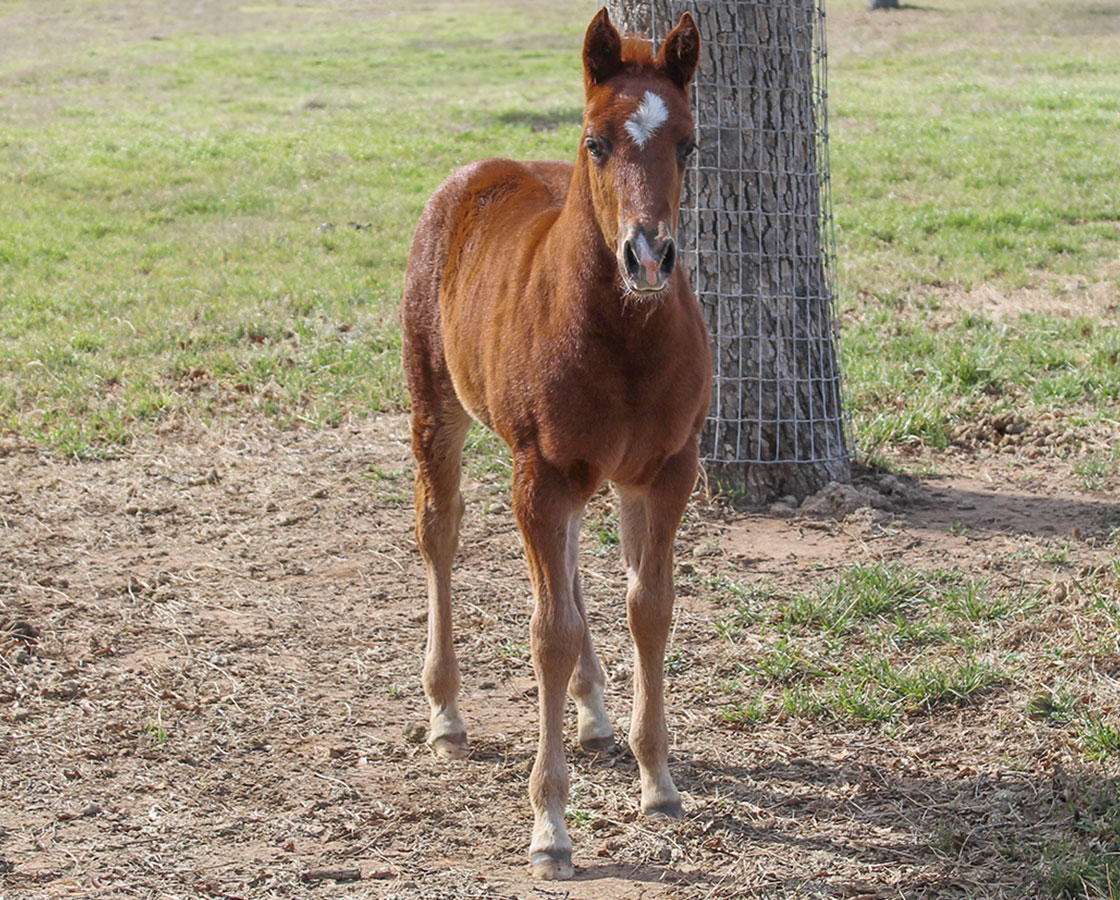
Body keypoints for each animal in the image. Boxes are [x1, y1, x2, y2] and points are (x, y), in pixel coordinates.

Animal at [398, 8, 707, 877]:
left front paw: (658, 780)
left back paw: (595, 715)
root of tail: (475, 172)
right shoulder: (539, 475)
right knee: (439, 532)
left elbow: (649, 608)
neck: (625, 340)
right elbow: (550, 634)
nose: (649, 256)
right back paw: (446, 714)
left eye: (688, 144)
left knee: (566, 568)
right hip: (438, 407)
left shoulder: (665, 470)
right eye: (596, 142)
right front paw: (550, 825)